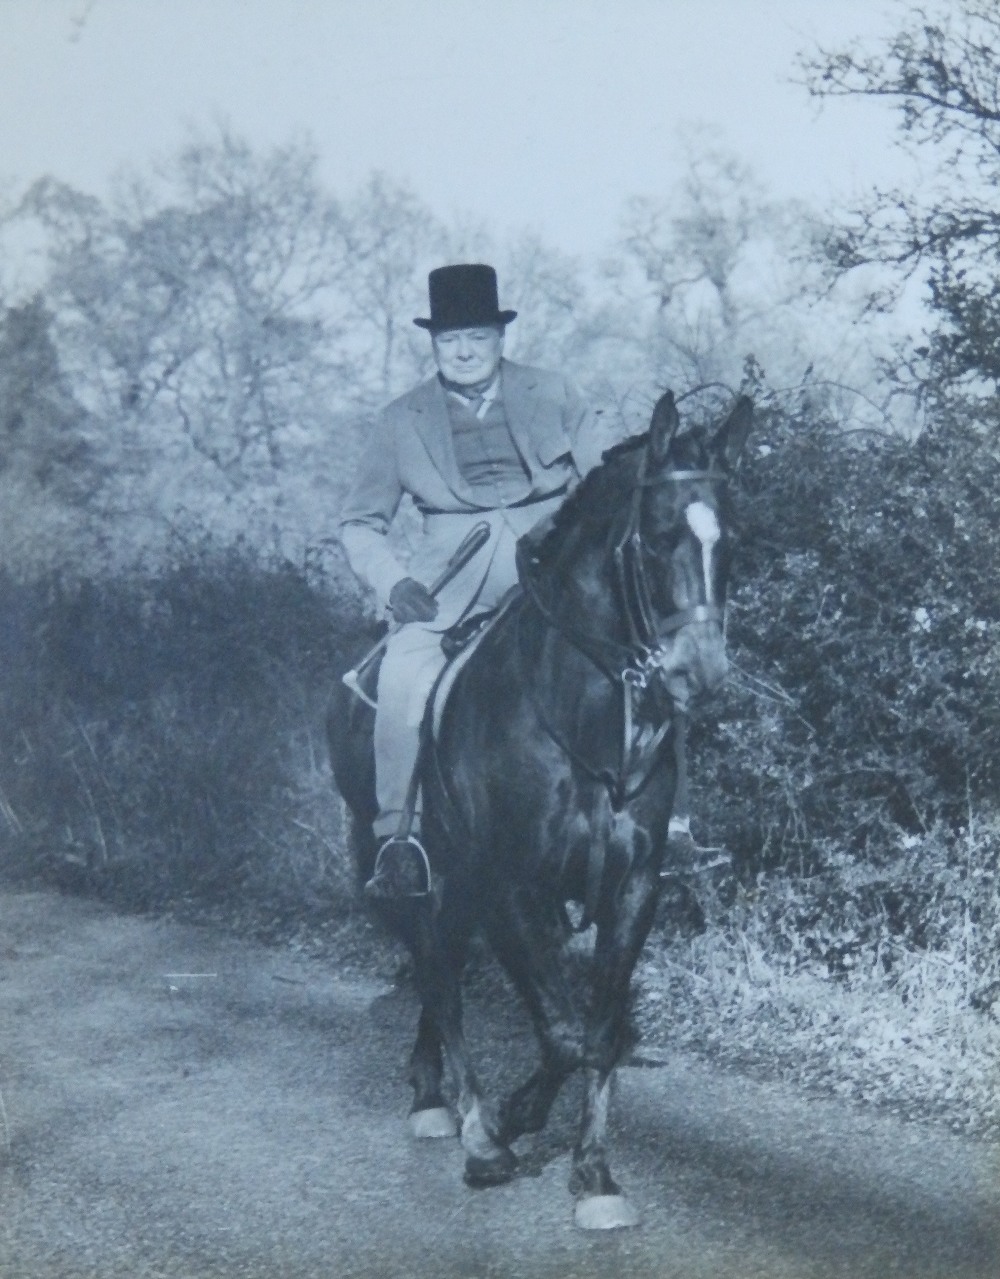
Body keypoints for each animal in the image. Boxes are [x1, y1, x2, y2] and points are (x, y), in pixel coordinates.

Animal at [327, 388, 751, 1227]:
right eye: (657, 536)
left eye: (734, 540)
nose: (700, 672)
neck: (577, 711)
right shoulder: (510, 886)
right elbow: (560, 1031)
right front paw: (504, 1129)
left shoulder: (629, 888)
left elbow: (598, 1030)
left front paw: (593, 1172)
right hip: (407, 868)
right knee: (437, 973)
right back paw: (456, 1116)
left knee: (442, 971)